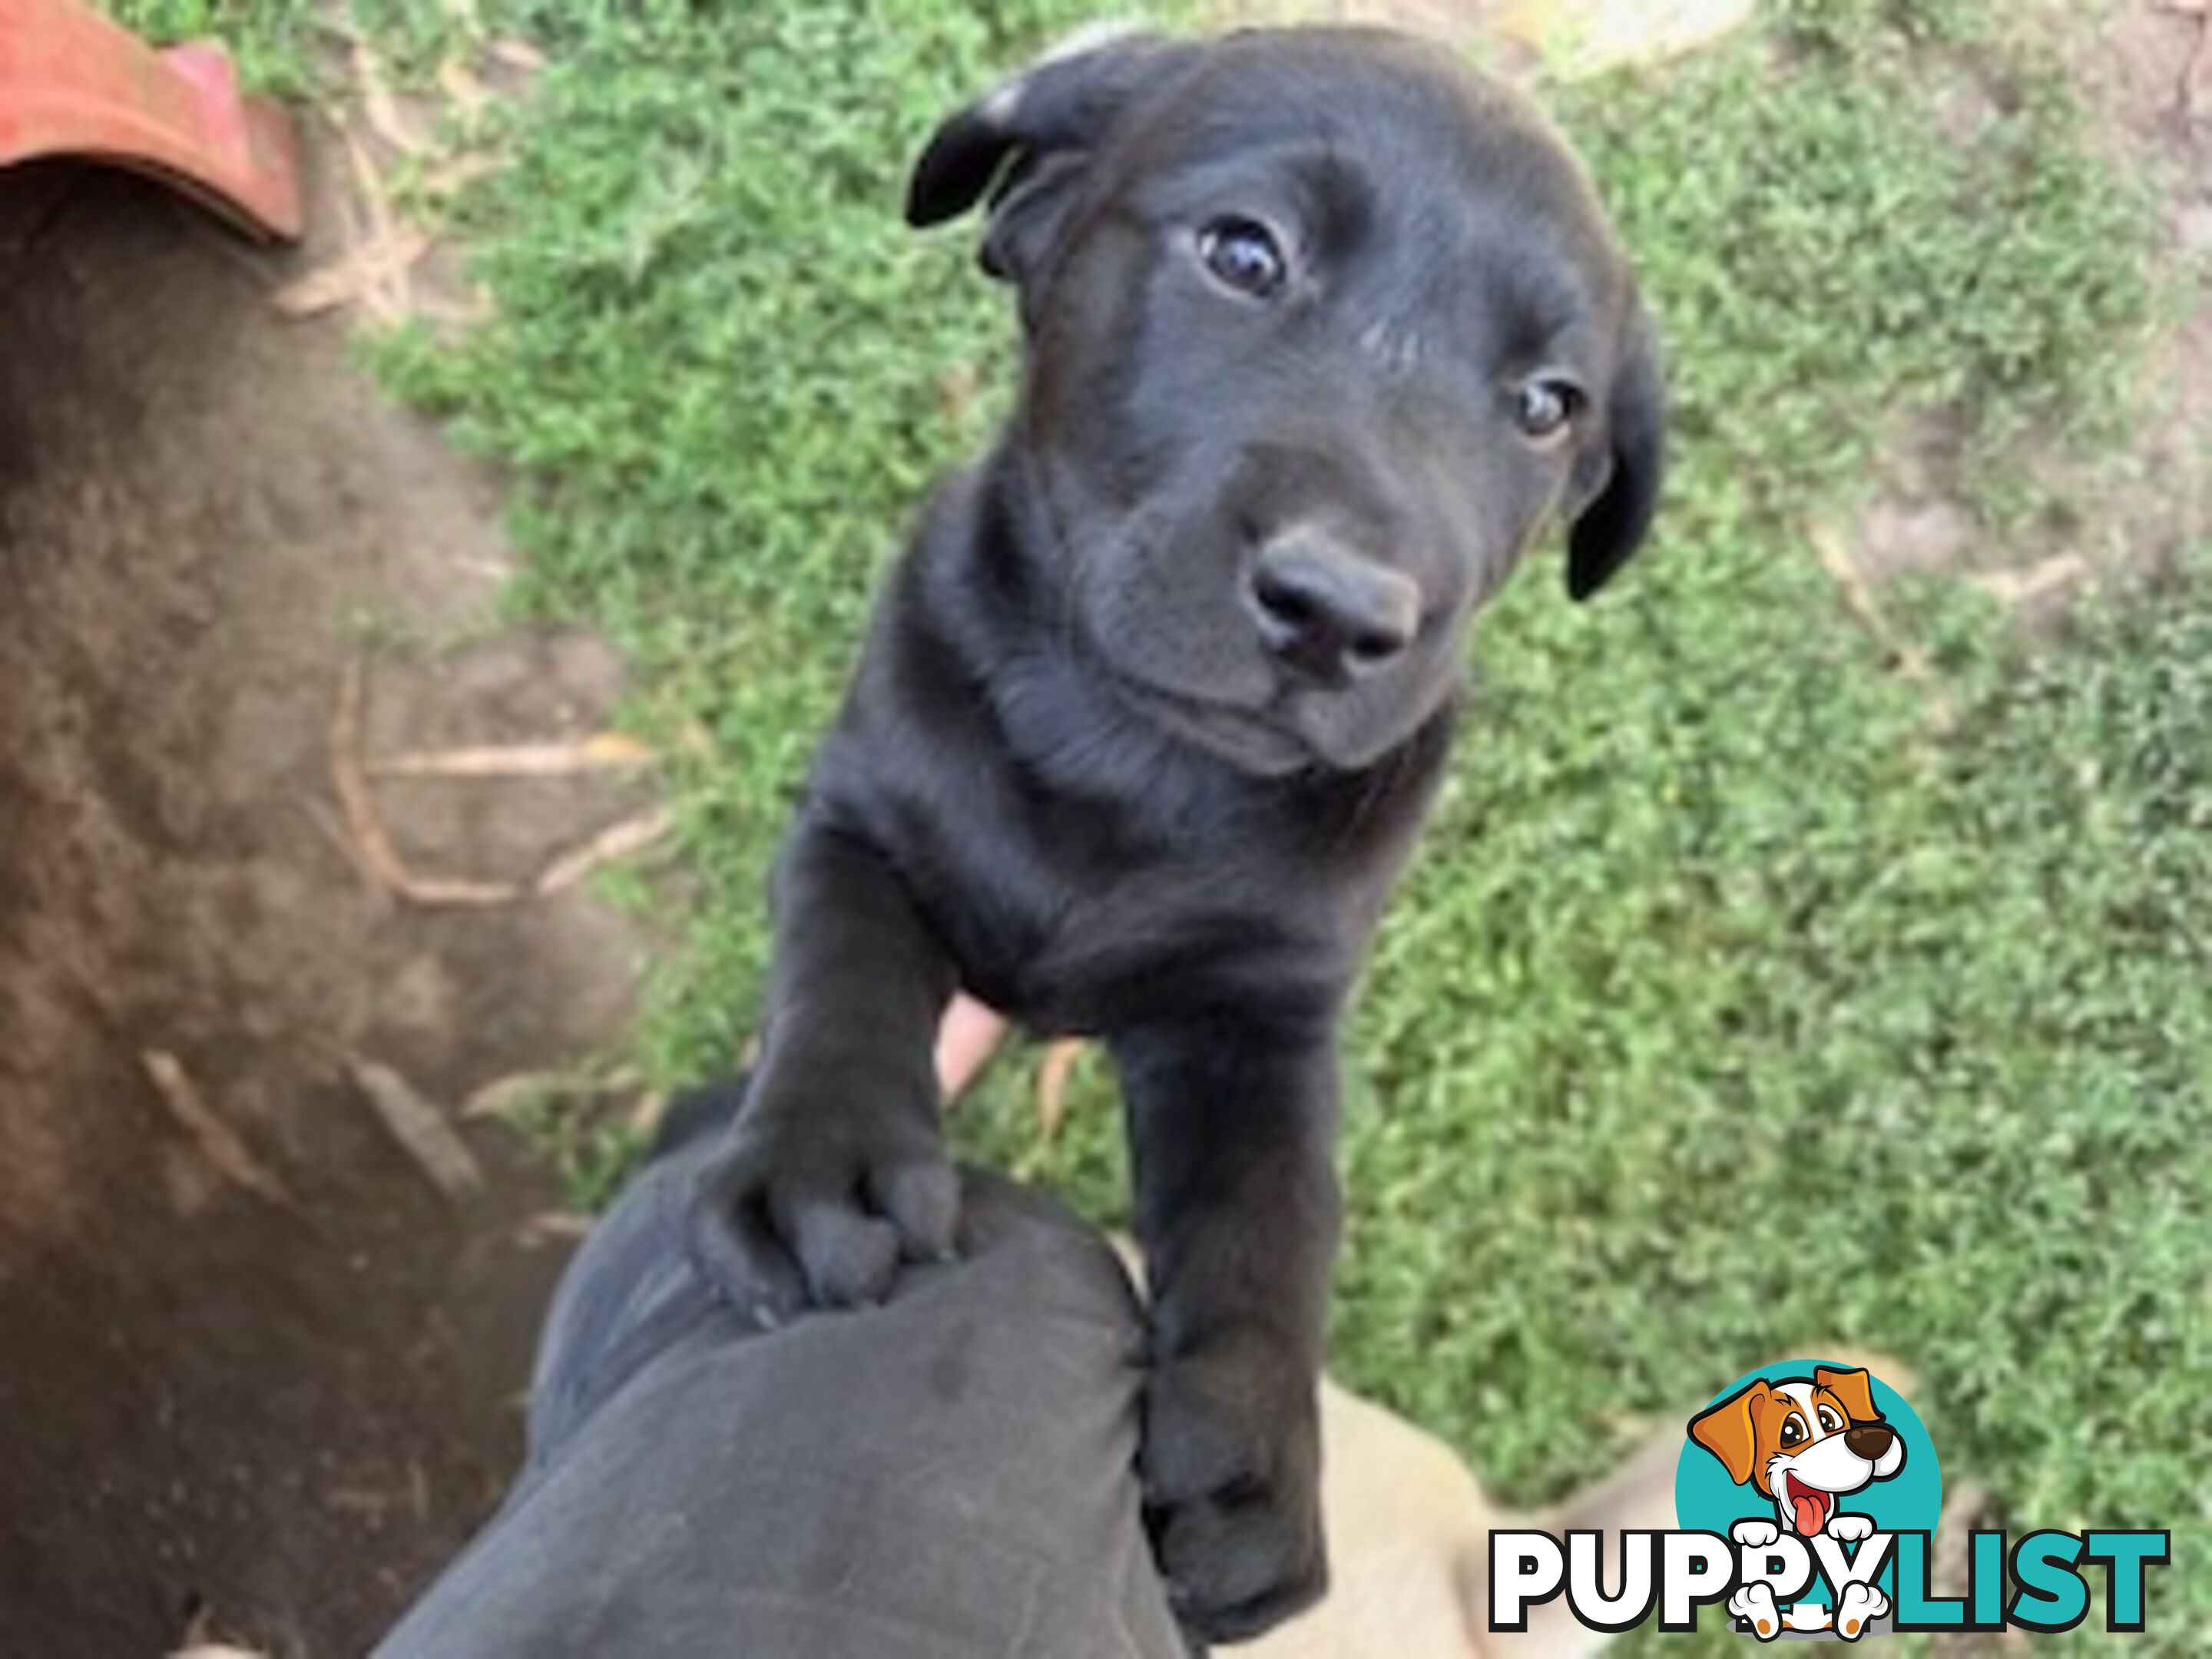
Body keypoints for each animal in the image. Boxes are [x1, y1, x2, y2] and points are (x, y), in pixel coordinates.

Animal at [690, 29, 1663, 1654]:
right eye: (1243, 253)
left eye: (1546, 405)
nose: (1343, 612)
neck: (1132, 754)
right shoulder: (860, 813)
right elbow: (844, 962)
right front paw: (823, 1162)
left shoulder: (1260, 1011)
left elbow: (1271, 1219)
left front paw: (1253, 1467)